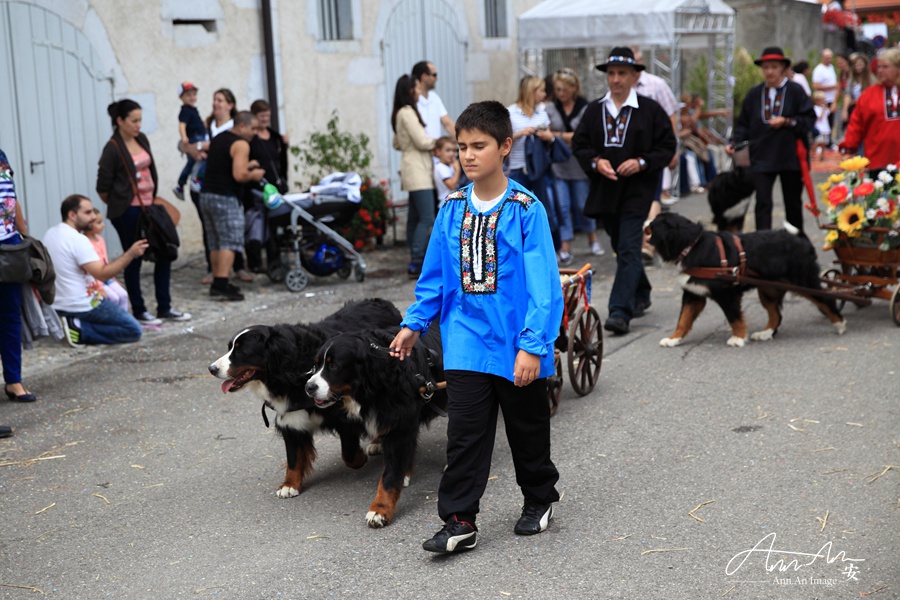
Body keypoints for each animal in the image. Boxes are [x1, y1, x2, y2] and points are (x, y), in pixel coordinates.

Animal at [209, 298, 400, 500]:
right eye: (229, 348)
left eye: (241, 351)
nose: (211, 369)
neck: (291, 371)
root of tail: (382, 302)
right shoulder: (290, 418)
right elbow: (293, 457)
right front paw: (289, 484)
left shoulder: (345, 416)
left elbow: (349, 455)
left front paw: (361, 458)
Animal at [304, 326, 448, 528]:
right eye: (316, 366)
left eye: (334, 366)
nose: (308, 387)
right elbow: (349, 455)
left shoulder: (400, 425)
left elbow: (389, 476)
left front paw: (380, 510)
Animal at [648, 213, 844, 346]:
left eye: (651, 227)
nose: (645, 223)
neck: (693, 246)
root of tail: (800, 240)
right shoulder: (693, 294)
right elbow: (683, 319)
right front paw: (673, 339)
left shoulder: (726, 294)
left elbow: (734, 317)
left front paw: (738, 338)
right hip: (768, 290)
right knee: (776, 315)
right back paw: (765, 334)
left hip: (802, 281)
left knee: (826, 300)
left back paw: (840, 324)